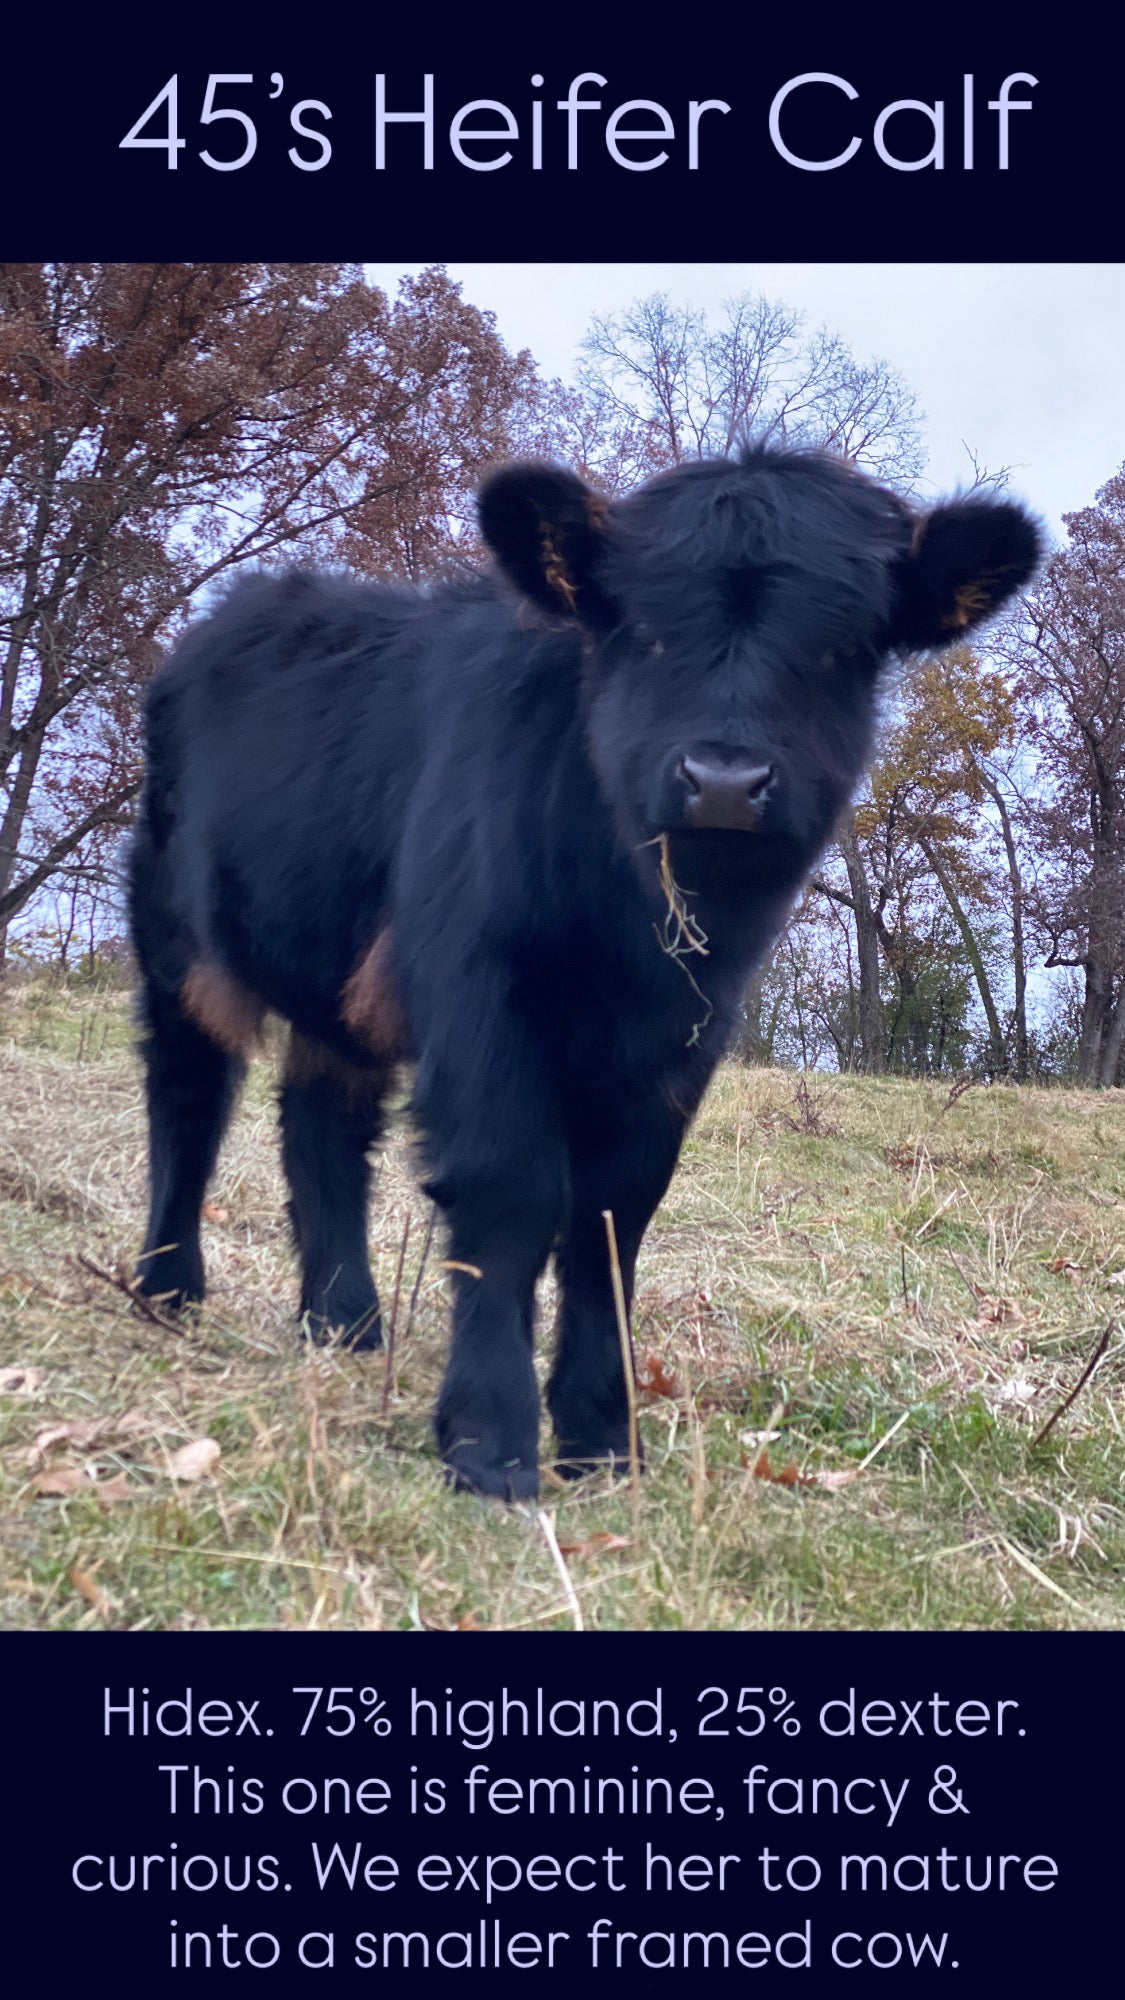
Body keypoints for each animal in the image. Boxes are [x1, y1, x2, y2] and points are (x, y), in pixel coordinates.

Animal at [128, 445, 1040, 1499]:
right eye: (642, 632)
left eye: (841, 648)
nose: (723, 782)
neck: (633, 924)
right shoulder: (480, 986)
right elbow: (512, 1192)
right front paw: (490, 1439)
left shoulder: (685, 1033)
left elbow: (614, 1221)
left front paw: (602, 1437)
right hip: (174, 930)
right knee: (188, 1092)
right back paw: (166, 1286)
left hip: (336, 979)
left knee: (322, 1122)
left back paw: (345, 1323)